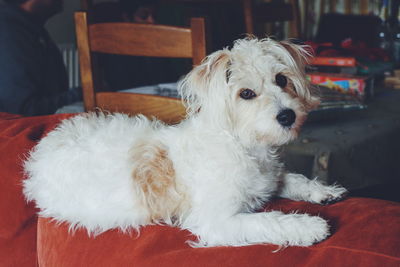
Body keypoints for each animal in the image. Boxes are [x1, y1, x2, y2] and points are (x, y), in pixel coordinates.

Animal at [22, 38, 346, 249]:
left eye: (281, 79)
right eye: (246, 94)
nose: (287, 115)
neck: (243, 145)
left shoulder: (270, 177)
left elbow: (292, 178)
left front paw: (322, 191)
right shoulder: (218, 221)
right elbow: (267, 220)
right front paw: (308, 226)